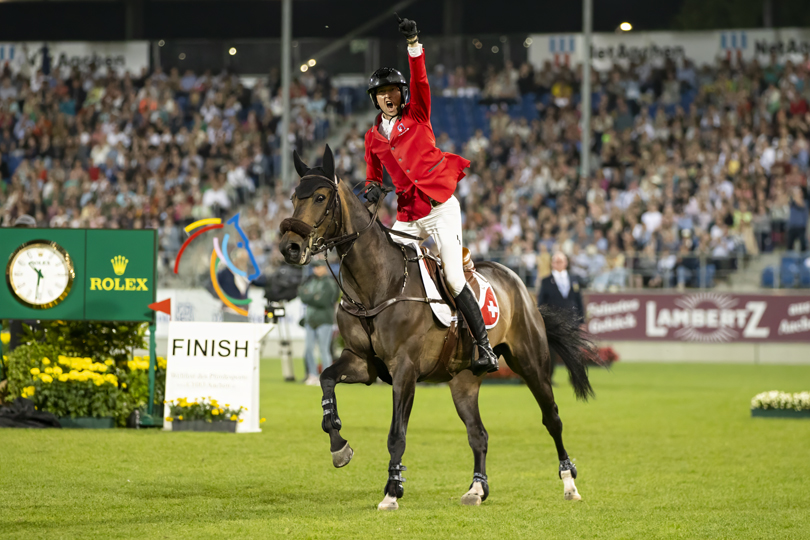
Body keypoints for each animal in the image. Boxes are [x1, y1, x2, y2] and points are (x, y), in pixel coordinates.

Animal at [274, 146, 596, 508]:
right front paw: (338, 446)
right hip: (464, 380)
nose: (290, 247)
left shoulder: (404, 369)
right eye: (292, 197)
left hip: (530, 362)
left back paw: (569, 482)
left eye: (319, 197)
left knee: (552, 418)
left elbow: (396, 434)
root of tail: (519, 283)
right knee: (478, 433)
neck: (377, 284)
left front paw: (392, 491)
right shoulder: (361, 362)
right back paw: (476, 489)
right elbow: (326, 380)